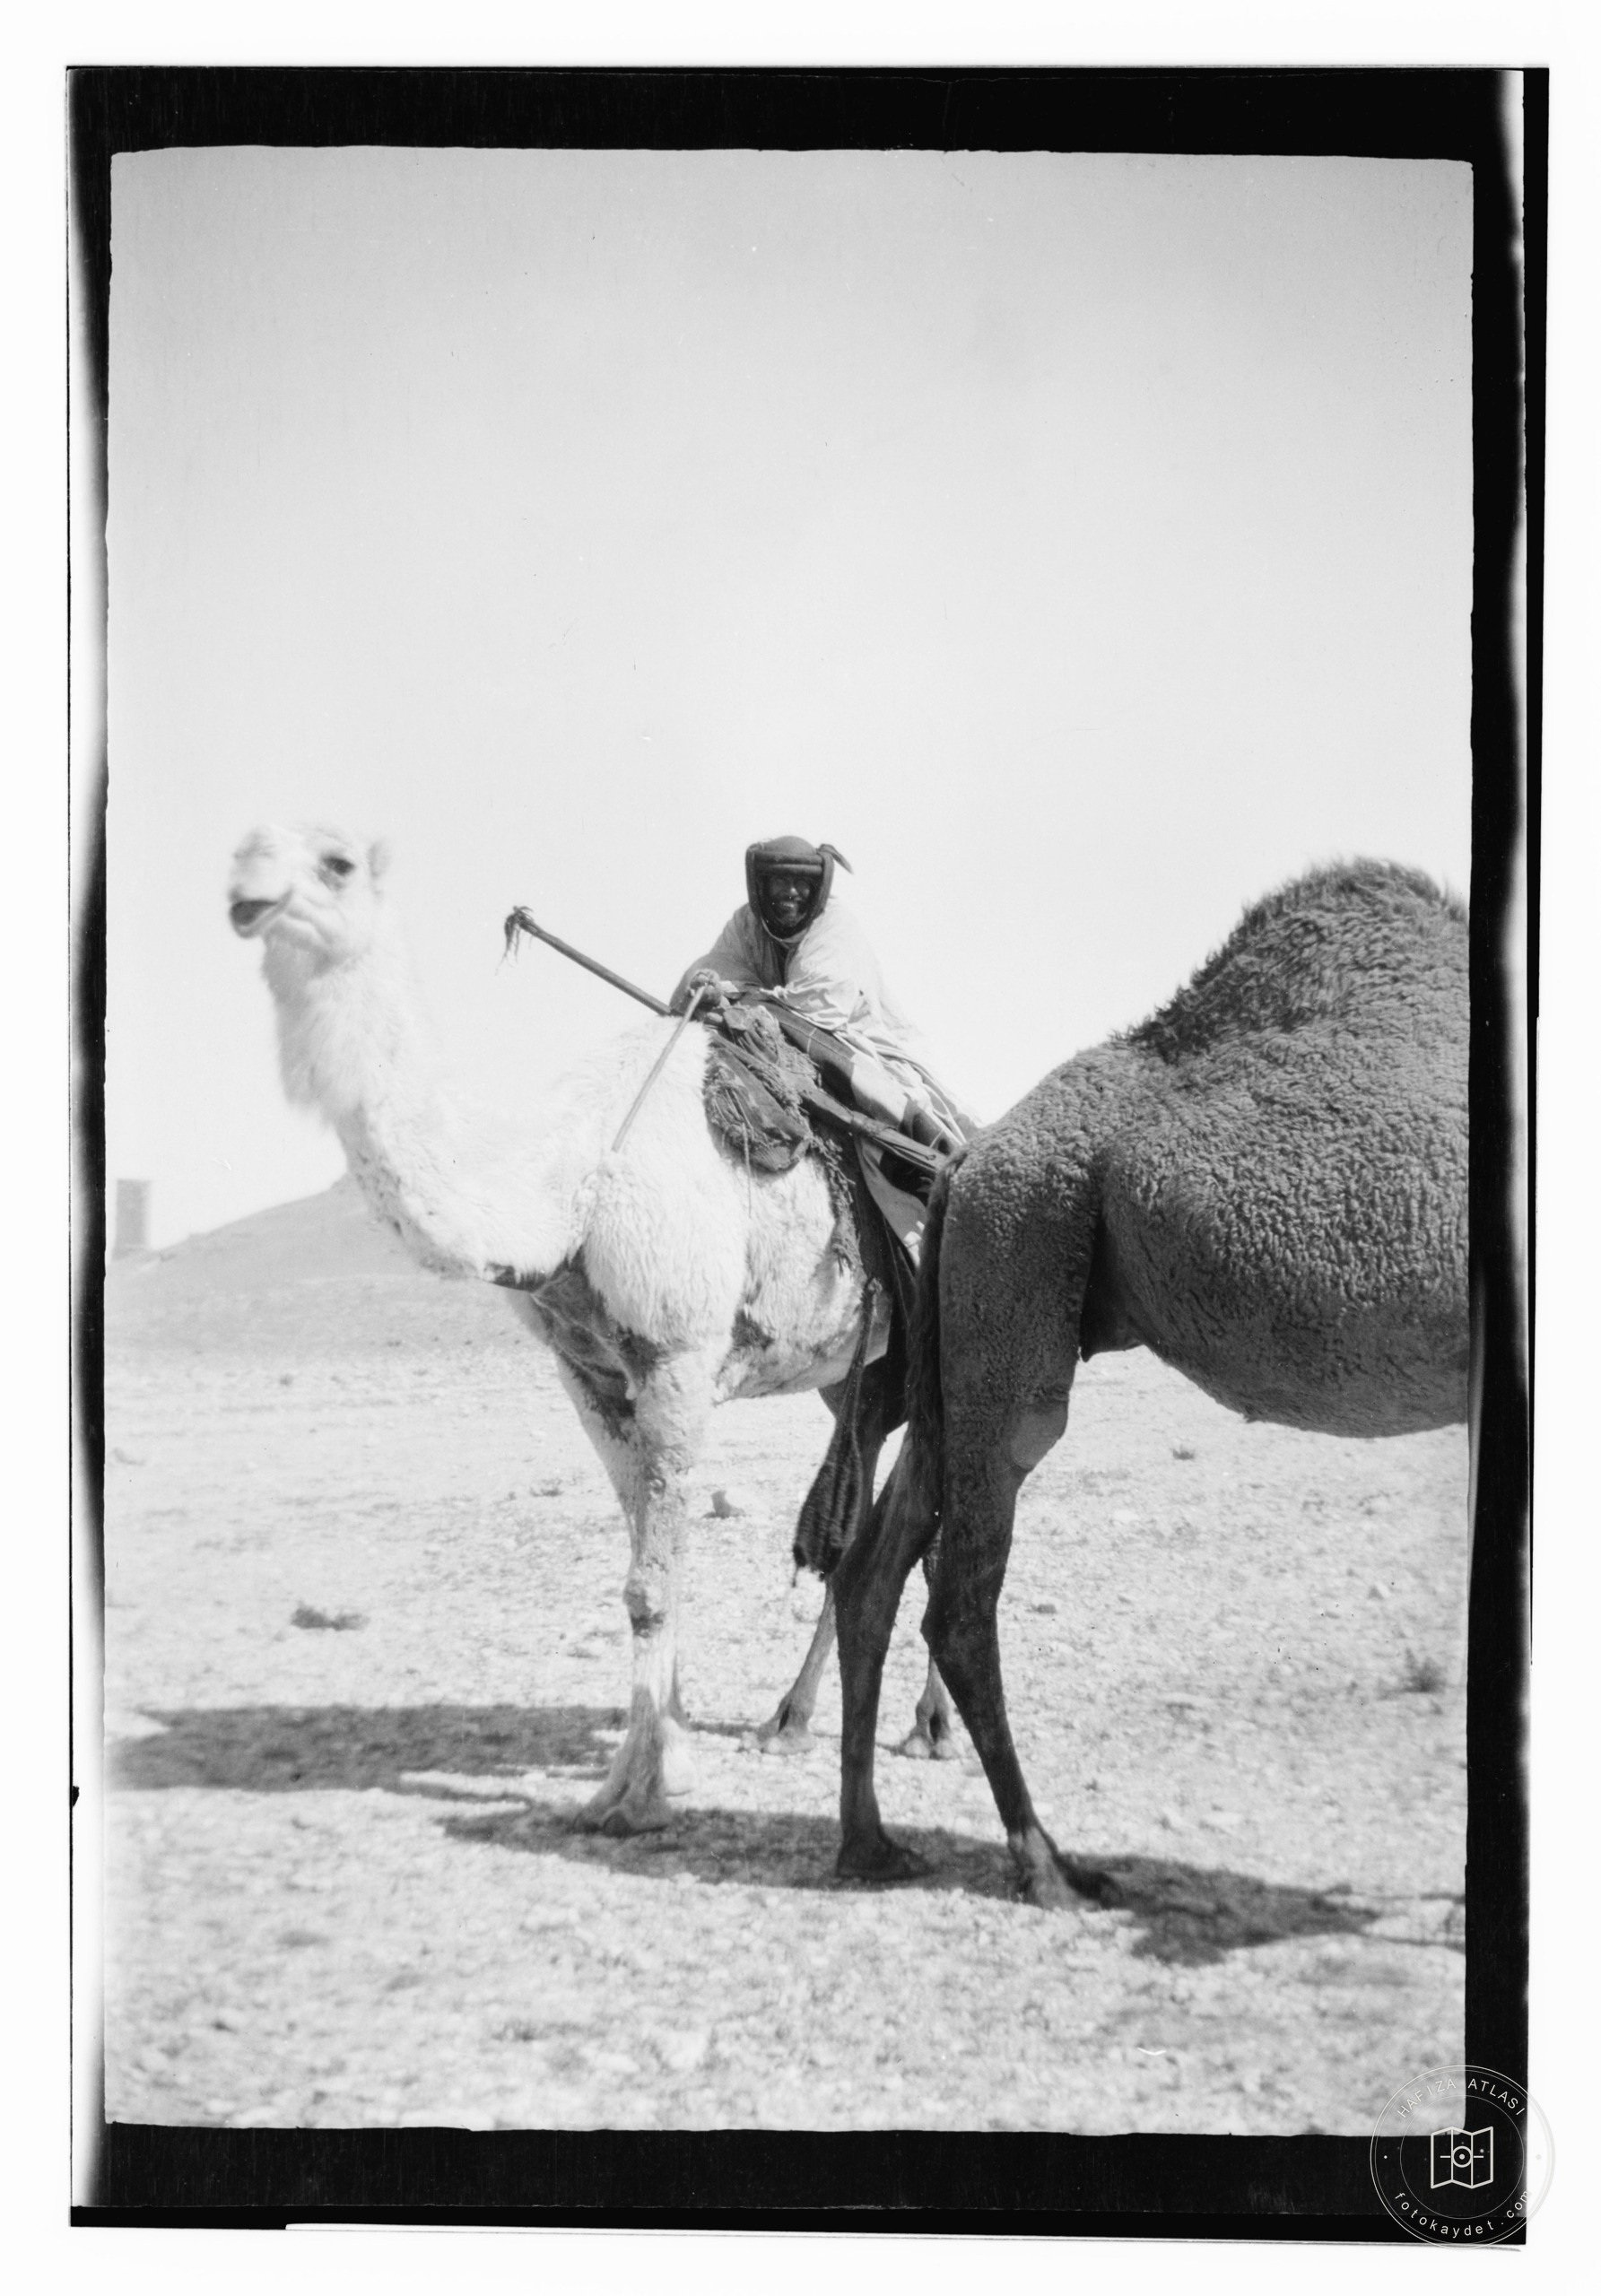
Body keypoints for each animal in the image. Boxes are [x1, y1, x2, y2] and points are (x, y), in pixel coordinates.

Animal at [227, 822, 952, 1837]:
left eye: (334, 862)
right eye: (241, 847)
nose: (246, 894)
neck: (572, 1182)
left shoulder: (678, 1358)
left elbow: (651, 1582)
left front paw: (637, 1791)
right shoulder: (592, 1377)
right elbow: (650, 1559)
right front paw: (659, 1760)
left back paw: (926, 1726)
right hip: (862, 1368)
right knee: (879, 1511)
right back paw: (791, 1718)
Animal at [831, 859, 1470, 1906]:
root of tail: (965, 1160)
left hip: (971, 1310)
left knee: (872, 1568)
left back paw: (869, 1843)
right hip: (1021, 1250)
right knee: (959, 1596)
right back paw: (1044, 1861)